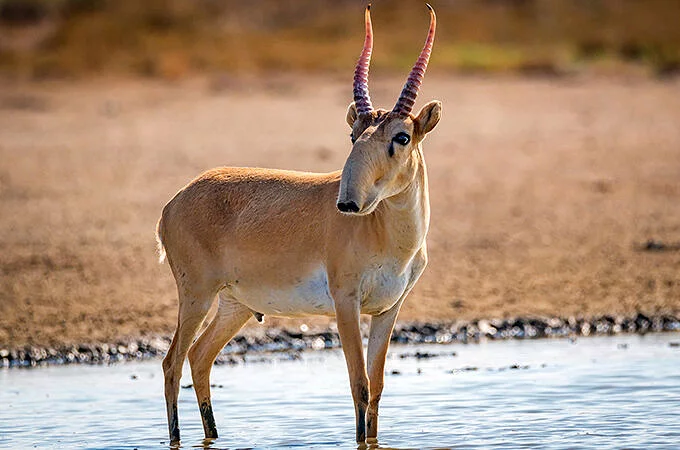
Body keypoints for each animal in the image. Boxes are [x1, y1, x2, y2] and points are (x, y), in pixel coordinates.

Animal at [156, 4, 440, 446]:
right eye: (354, 133)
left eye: (402, 136)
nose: (348, 202)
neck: (387, 236)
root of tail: (174, 202)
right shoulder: (346, 302)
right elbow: (358, 384)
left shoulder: (388, 309)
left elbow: (376, 387)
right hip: (196, 296)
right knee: (172, 362)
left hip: (235, 305)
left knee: (199, 358)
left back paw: (214, 435)